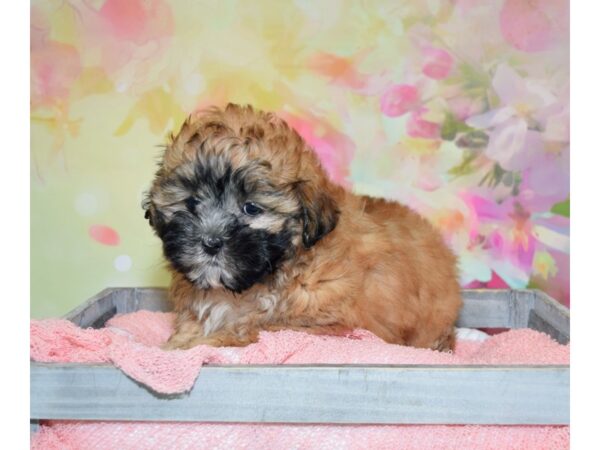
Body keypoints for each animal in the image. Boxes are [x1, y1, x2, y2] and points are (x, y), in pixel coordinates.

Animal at [145, 104, 464, 352]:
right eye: (191, 202)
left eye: (251, 208)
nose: (210, 243)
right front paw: (177, 342)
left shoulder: (315, 325)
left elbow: (249, 328)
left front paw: (202, 343)